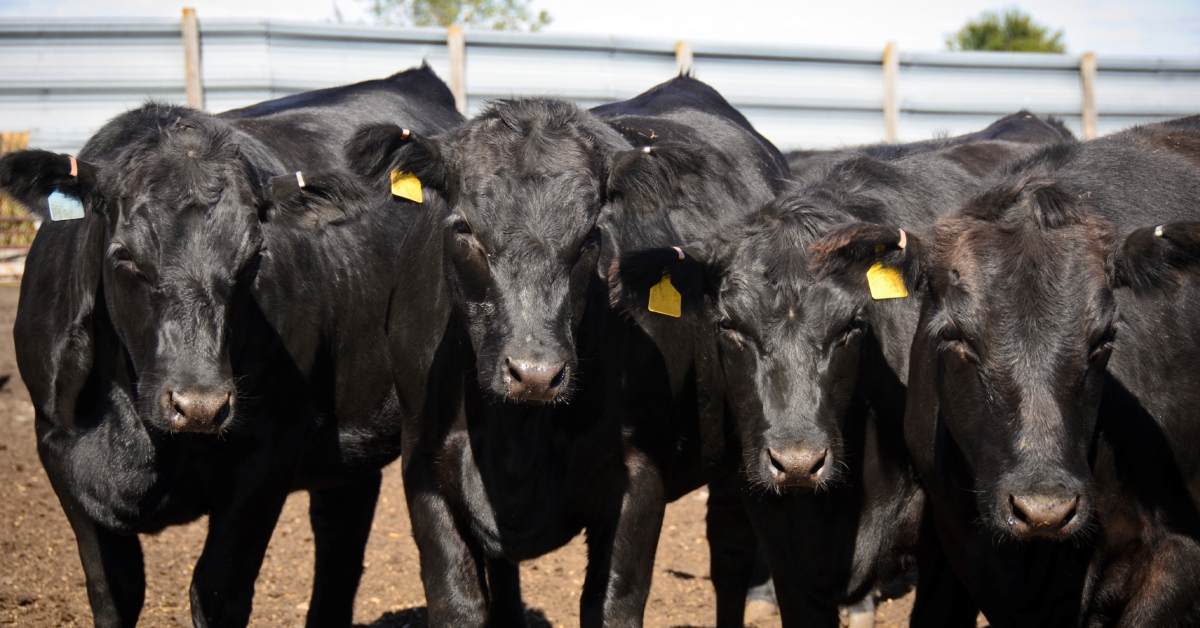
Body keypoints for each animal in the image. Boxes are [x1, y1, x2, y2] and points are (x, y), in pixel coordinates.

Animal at [0, 65, 460, 628]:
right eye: (124, 255)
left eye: (254, 256)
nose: (199, 405)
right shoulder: (57, 448)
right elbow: (114, 590)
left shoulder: (267, 453)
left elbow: (218, 588)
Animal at [343, 76, 792, 624]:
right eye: (465, 228)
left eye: (590, 236)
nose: (535, 373)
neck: (515, 435)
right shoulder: (423, 462)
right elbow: (457, 600)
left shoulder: (640, 473)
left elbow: (612, 603)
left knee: (730, 548)